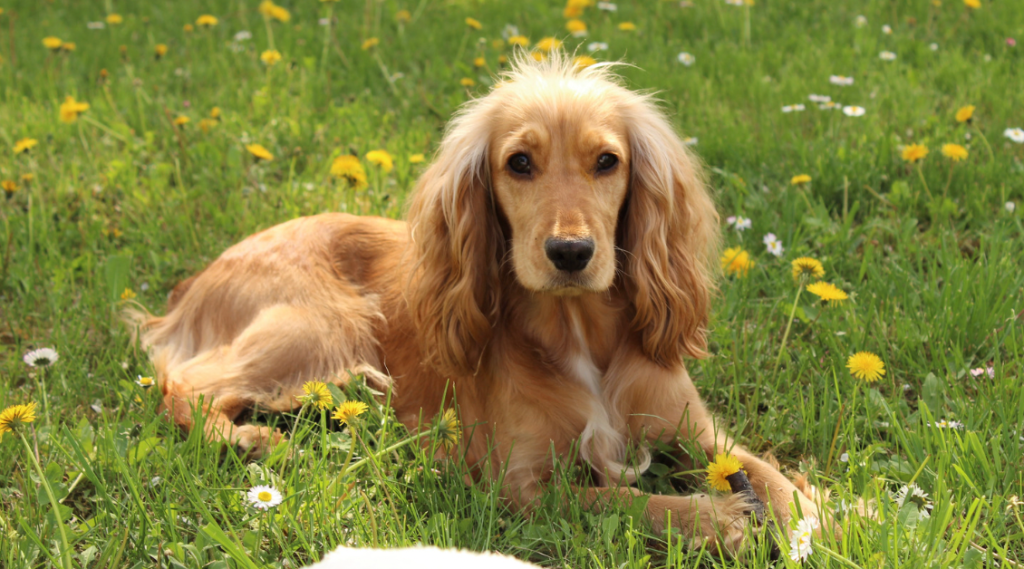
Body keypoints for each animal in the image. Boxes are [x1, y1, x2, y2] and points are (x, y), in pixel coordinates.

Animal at [134, 52, 823, 552]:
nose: (570, 252)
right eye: (518, 163)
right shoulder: (517, 485)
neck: (578, 334)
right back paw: (249, 440)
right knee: (185, 386)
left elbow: (762, 470)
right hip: (321, 324)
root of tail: (195, 283)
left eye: (608, 161)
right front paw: (717, 519)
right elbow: (621, 500)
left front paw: (816, 515)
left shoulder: (695, 429)